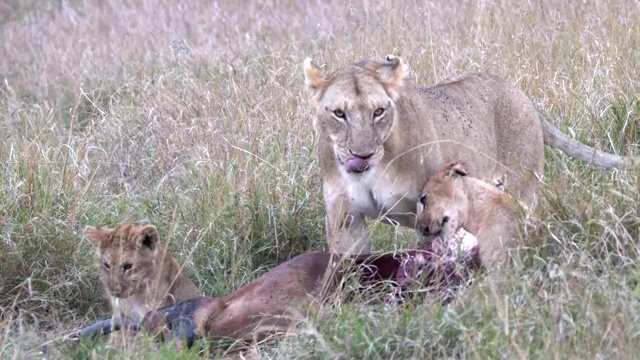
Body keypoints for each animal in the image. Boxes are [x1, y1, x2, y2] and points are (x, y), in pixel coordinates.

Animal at [304, 54, 632, 255]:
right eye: (339, 114)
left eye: (379, 112)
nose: (362, 155)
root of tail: (522, 95)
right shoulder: (346, 220)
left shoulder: (431, 211)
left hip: (521, 191)